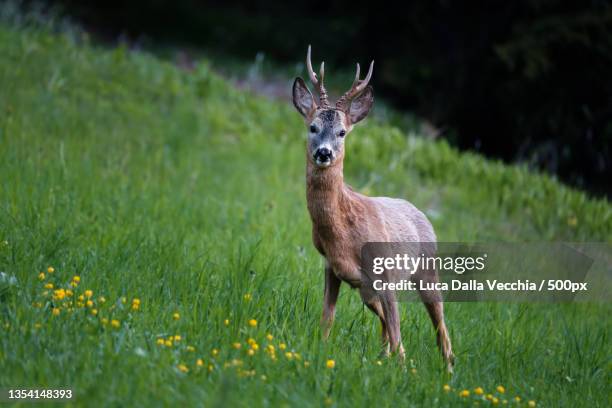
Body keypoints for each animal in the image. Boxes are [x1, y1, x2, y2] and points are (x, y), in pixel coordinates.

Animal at [292, 46, 454, 372]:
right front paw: (321, 350)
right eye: (313, 127)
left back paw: (449, 368)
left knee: (439, 322)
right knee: (385, 325)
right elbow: (327, 318)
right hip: (367, 288)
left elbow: (398, 330)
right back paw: (384, 357)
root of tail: (420, 213)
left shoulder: (385, 272)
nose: (324, 153)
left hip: (427, 268)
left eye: (342, 132)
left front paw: (403, 370)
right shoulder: (332, 266)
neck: (342, 232)